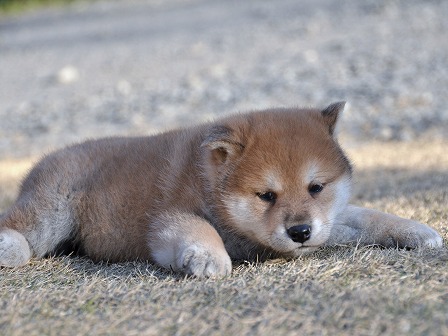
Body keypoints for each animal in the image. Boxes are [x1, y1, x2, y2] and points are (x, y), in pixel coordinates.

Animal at [0, 101, 440, 276]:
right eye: (266, 195)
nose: (300, 232)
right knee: (18, 226)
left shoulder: (330, 221)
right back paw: (11, 250)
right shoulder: (169, 218)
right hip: (50, 212)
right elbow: (198, 229)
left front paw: (417, 231)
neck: (209, 181)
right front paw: (208, 258)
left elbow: (369, 216)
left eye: (316, 187)